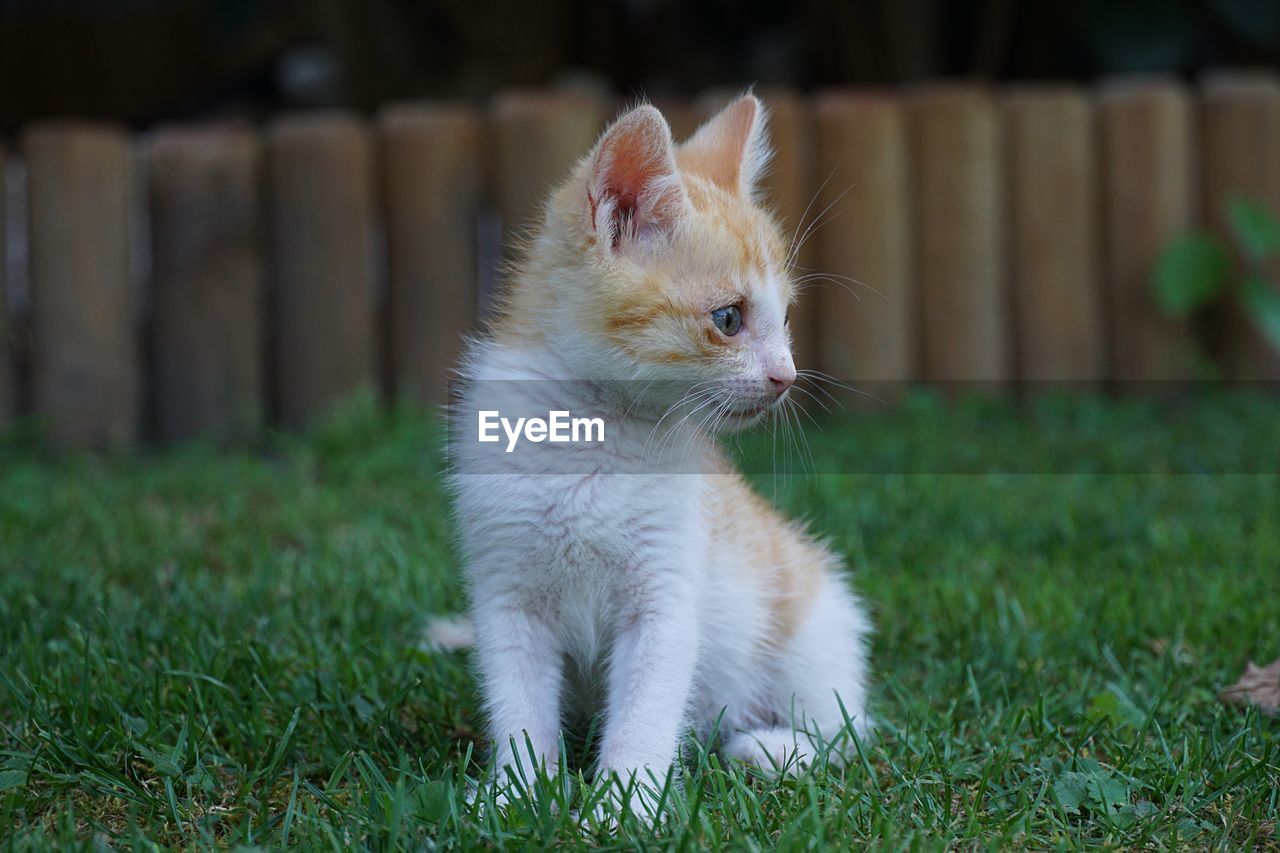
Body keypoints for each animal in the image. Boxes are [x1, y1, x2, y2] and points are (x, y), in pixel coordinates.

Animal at [445, 94, 875, 819]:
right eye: (728, 319)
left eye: (786, 318)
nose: (786, 376)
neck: (594, 433)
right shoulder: (507, 593)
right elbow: (520, 704)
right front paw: (515, 793)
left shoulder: (668, 596)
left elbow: (645, 712)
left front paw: (620, 809)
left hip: (812, 617)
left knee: (850, 729)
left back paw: (774, 748)